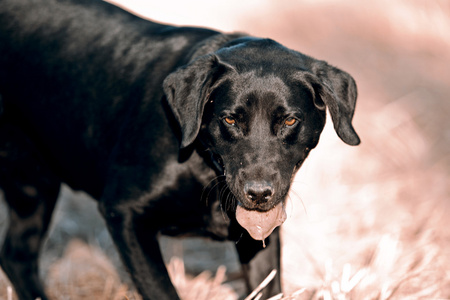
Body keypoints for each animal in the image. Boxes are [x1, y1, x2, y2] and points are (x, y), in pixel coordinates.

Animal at [0, 0, 360, 298]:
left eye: (289, 120)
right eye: (230, 119)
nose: (258, 194)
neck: (204, 167)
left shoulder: (260, 240)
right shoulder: (124, 214)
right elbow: (162, 290)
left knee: (16, 255)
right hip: (33, 184)